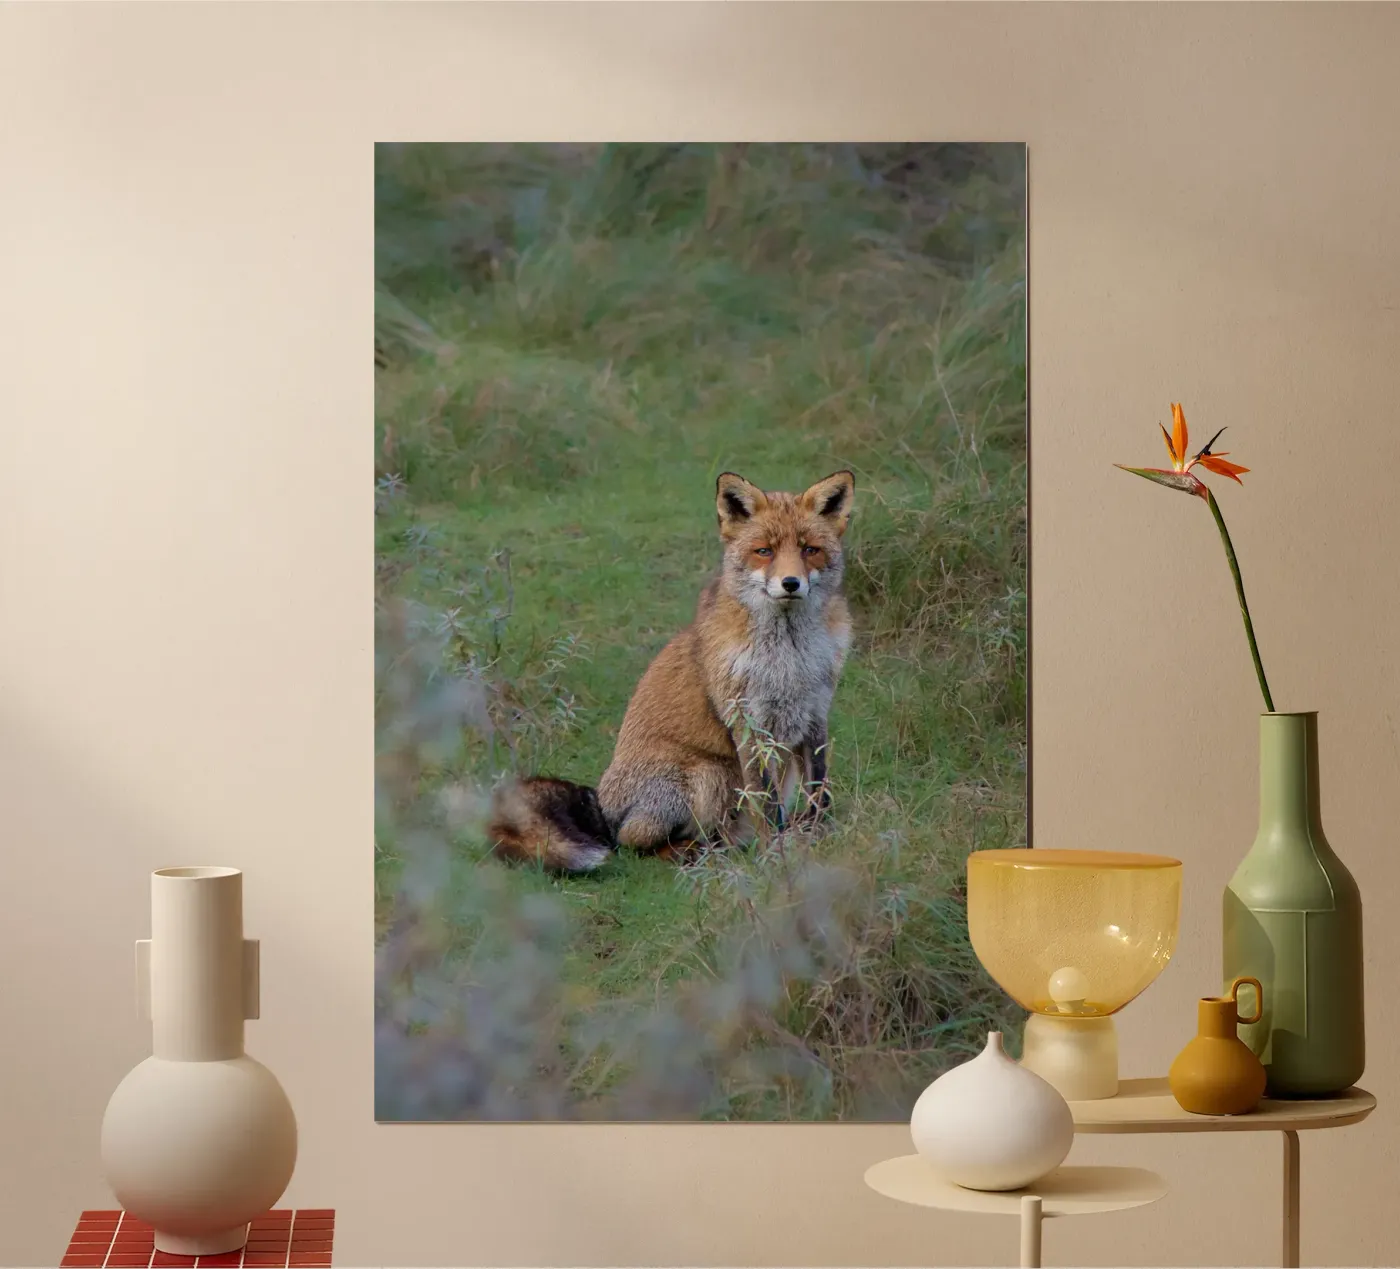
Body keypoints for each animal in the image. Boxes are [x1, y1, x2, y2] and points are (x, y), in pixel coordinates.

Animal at [487, 468, 855, 873]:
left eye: (809, 550)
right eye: (765, 551)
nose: (791, 584)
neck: (790, 656)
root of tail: (602, 807)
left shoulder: (815, 712)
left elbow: (820, 791)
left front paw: (819, 839)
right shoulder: (747, 720)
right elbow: (766, 801)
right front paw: (778, 854)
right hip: (706, 775)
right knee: (631, 842)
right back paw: (687, 852)